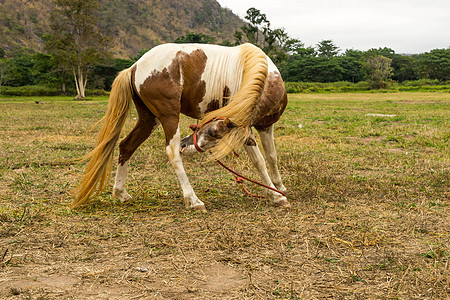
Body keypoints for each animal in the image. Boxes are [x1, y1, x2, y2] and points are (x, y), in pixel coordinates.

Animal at [70, 42, 288, 211]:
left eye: (212, 133)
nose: (186, 146)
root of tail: (135, 66)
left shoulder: (265, 126)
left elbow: (271, 156)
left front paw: (279, 187)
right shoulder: (243, 129)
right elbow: (259, 161)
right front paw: (276, 195)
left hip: (149, 119)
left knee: (126, 145)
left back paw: (120, 193)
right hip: (169, 116)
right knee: (172, 153)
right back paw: (193, 200)